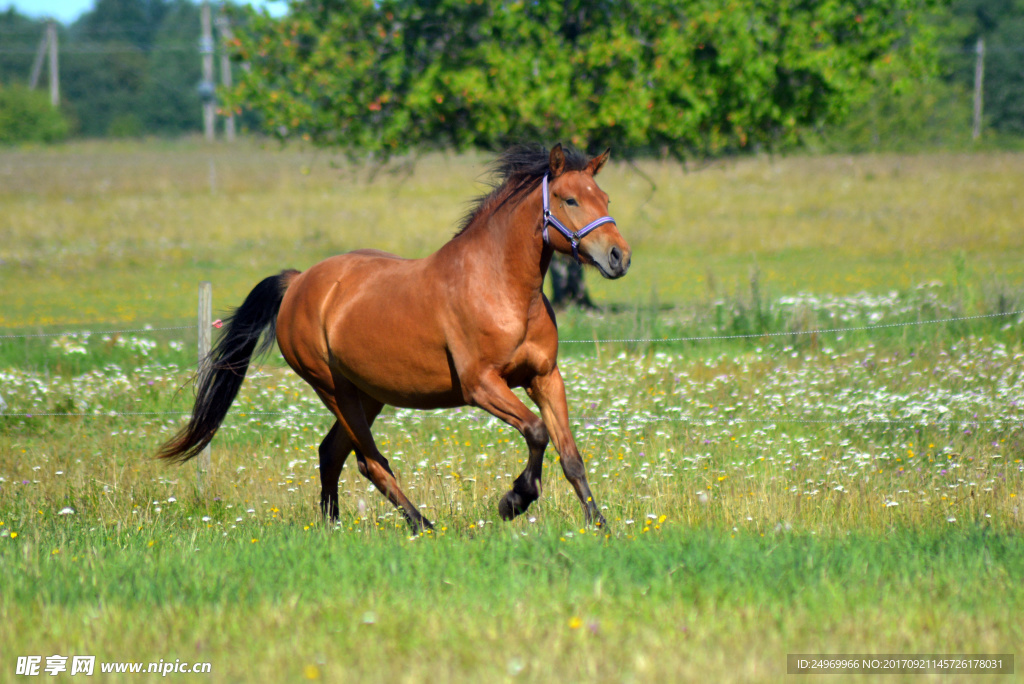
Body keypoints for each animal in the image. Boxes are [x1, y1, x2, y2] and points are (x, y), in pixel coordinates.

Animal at [157, 141, 630, 532]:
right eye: (570, 199)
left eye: (606, 198)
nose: (618, 257)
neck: (502, 287)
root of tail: (298, 282)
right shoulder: (481, 385)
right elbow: (536, 431)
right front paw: (514, 500)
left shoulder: (544, 378)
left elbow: (570, 455)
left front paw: (599, 525)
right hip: (334, 389)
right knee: (369, 463)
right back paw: (421, 524)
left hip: (369, 393)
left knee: (330, 453)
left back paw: (334, 527)